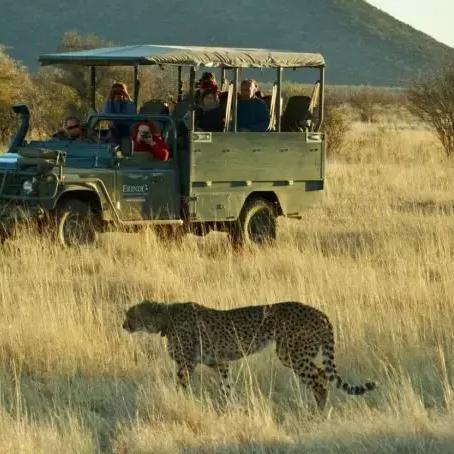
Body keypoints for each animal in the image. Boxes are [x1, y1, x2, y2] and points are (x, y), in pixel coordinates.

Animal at [122, 300, 374, 410]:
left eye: (129, 315)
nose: (123, 324)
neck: (165, 318)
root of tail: (319, 312)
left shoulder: (187, 364)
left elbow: (181, 386)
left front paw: (180, 401)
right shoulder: (221, 363)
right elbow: (227, 387)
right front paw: (228, 410)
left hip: (291, 353)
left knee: (320, 380)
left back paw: (318, 412)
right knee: (322, 376)